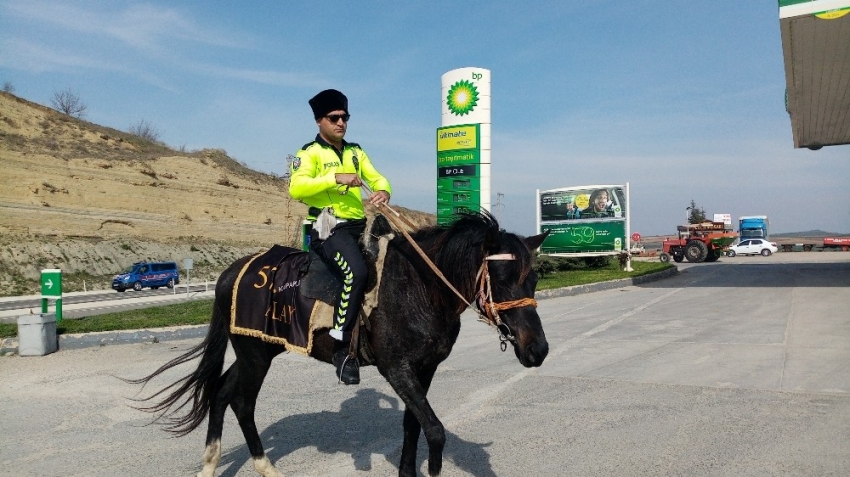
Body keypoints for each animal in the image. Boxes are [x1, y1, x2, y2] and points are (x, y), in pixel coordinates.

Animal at [129, 213, 548, 476]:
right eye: (501, 277)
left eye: (534, 279)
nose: (538, 350)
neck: (419, 286)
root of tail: (232, 272)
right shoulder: (397, 369)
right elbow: (434, 430)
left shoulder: (423, 370)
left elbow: (412, 425)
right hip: (255, 356)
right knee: (241, 402)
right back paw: (265, 467)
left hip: (258, 349)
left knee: (220, 391)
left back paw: (211, 465)